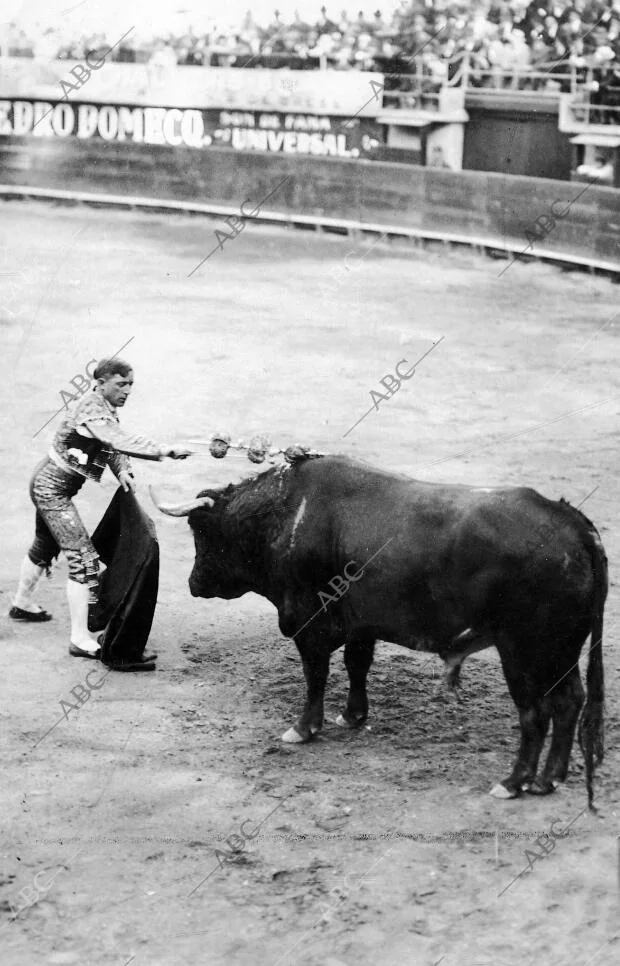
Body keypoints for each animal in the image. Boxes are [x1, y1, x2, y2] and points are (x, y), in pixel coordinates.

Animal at [153, 458, 608, 804]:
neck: (286, 513)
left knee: (535, 712)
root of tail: (575, 524)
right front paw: (352, 716)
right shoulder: (361, 625)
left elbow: (315, 676)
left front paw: (303, 728)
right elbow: (357, 666)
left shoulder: (307, 625)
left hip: (525, 653)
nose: (193, 583)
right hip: (561, 653)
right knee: (570, 701)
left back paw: (513, 782)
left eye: (200, 530)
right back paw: (549, 779)